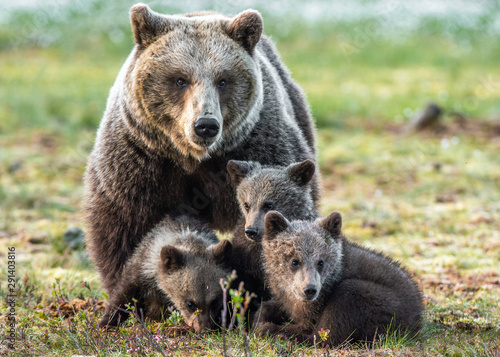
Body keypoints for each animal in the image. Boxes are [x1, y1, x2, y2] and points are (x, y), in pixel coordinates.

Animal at [83, 3, 318, 292]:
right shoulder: (141, 158)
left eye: (223, 80)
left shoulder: (257, 145)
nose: (205, 125)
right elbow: (124, 223)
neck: (193, 157)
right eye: (180, 80)